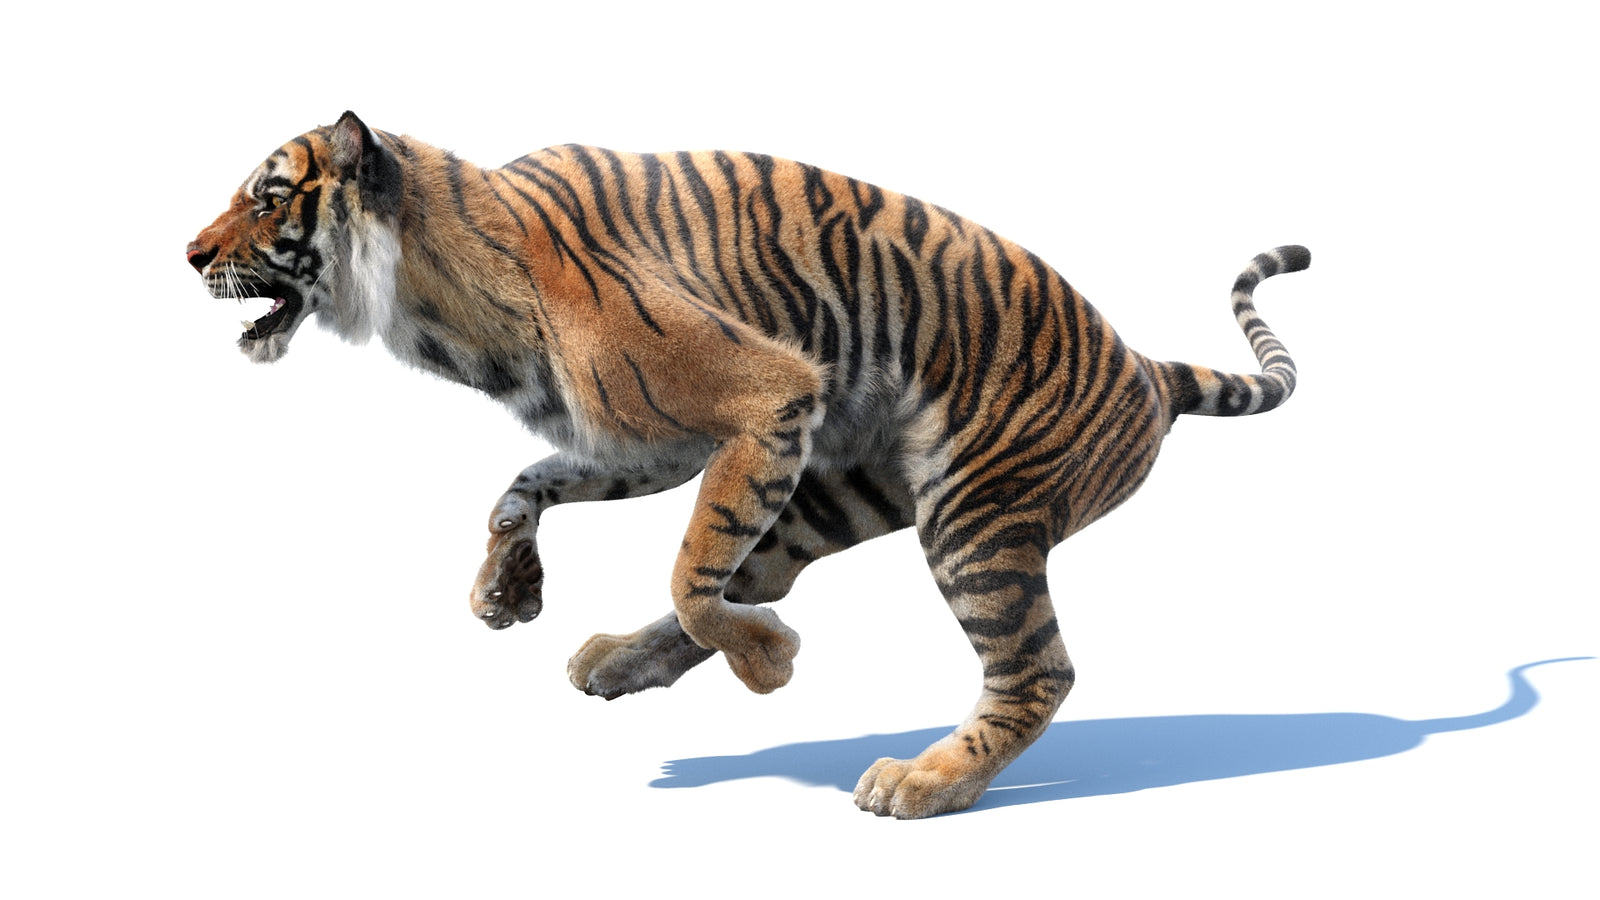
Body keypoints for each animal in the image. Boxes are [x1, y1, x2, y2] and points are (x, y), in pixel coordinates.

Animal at [187, 111, 1309, 819]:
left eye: (269, 198)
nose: (191, 254)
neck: (440, 304)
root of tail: (1145, 366)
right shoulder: (650, 442)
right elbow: (529, 487)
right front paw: (506, 590)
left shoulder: (767, 398)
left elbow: (690, 575)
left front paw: (771, 667)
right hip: (829, 497)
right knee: (755, 574)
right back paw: (619, 659)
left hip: (972, 516)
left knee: (1036, 668)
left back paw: (925, 782)